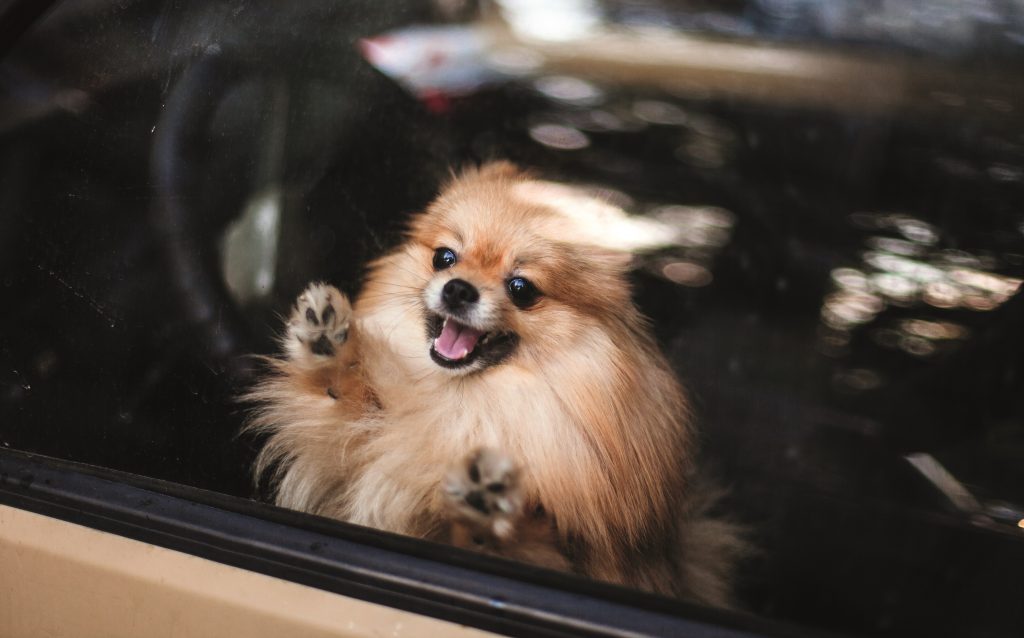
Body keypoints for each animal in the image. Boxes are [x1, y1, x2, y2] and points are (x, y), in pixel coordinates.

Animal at [247, 161, 745, 606]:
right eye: (444, 258)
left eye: (522, 288)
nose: (458, 288)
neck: (468, 400)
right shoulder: (349, 467)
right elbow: (342, 418)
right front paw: (330, 346)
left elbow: (521, 548)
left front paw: (488, 510)